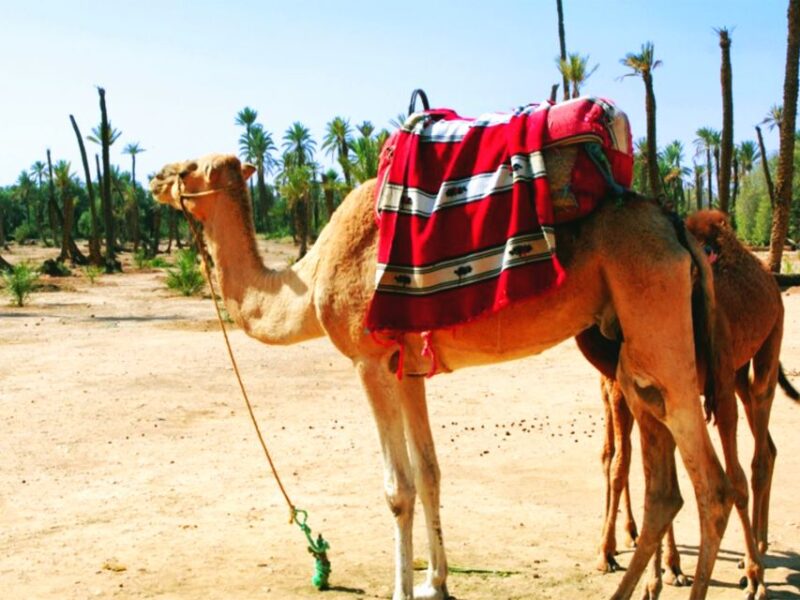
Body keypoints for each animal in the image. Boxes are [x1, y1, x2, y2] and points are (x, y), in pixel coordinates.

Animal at [149, 153, 734, 600]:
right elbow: (430, 472)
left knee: (713, 486)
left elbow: (398, 488)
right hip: (633, 347)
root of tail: (676, 228)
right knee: (666, 487)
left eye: (191, 168)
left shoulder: (368, 361)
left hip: (657, 320)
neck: (311, 281)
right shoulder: (408, 369)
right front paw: (437, 582)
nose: (155, 177)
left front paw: (403, 589)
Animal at [579, 209, 799, 600]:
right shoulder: (643, 391)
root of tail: (769, 278)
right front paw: (657, 575)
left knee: (758, 456)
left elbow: (730, 479)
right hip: (735, 374)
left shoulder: (704, 383)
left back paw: (754, 561)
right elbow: (638, 469)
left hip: (766, 349)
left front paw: (752, 577)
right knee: (766, 448)